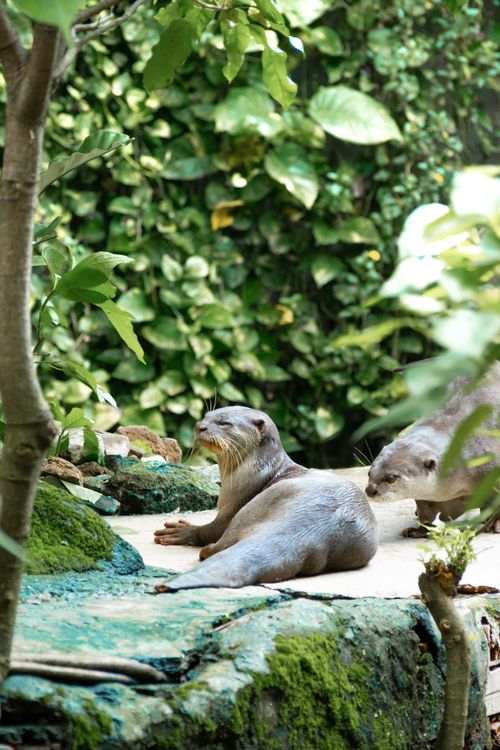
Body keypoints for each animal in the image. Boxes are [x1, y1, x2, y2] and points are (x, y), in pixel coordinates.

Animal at [153, 406, 377, 590]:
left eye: (224, 423)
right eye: (206, 416)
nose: (200, 426)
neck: (257, 470)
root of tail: (310, 531)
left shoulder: (233, 503)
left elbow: (212, 528)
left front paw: (184, 530)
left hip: (248, 510)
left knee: (219, 543)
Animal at [365, 363, 500, 537]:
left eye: (391, 478)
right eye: (369, 473)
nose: (370, 490)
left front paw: (496, 524)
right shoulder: (427, 497)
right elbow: (426, 512)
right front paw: (418, 530)